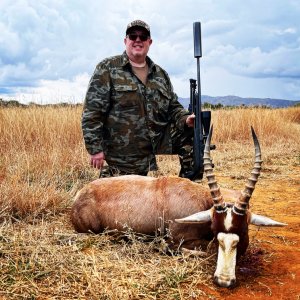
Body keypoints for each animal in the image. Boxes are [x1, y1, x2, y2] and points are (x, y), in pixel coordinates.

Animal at [71, 125, 286, 288]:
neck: (202, 199)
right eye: (216, 232)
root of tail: (79, 197)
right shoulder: (177, 240)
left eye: (242, 232)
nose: (224, 281)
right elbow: (199, 249)